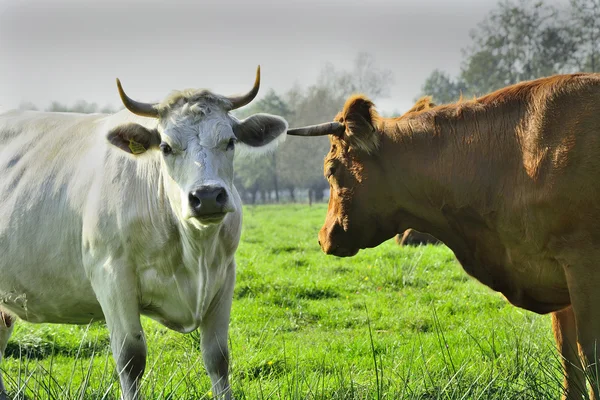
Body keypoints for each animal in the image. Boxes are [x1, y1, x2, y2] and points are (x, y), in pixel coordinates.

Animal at [0, 67, 286, 398]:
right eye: (165, 147)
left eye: (229, 142)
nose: (208, 196)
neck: (194, 253)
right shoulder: (111, 276)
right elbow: (131, 357)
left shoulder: (225, 274)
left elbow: (218, 357)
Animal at [284, 73, 600, 398]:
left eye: (330, 170)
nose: (323, 236)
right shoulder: (554, 275)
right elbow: (568, 358)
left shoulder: (583, 264)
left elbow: (589, 353)